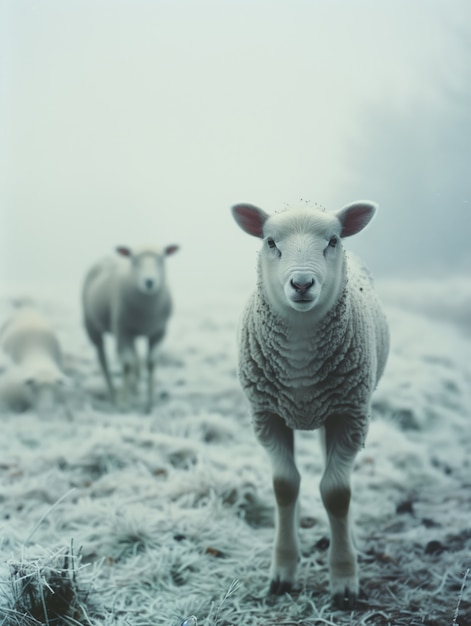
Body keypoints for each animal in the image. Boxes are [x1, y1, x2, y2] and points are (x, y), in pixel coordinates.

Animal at [82, 243, 178, 410]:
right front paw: (124, 402)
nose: (149, 282)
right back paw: (113, 393)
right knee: (103, 359)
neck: (147, 311)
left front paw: (150, 402)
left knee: (135, 358)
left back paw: (135, 388)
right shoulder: (122, 330)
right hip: (92, 326)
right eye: (134, 260)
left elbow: (151, 363)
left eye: (161, 259)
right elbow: (127, 365)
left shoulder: (159, 332)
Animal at [232, 201, 390, 608]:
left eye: (332, 240)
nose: (302, 284)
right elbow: (284, 487)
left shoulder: (349, 416)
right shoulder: (267, 416)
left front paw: (344, 578)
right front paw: (283, 570)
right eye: (271, 242)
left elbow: (336, 494)